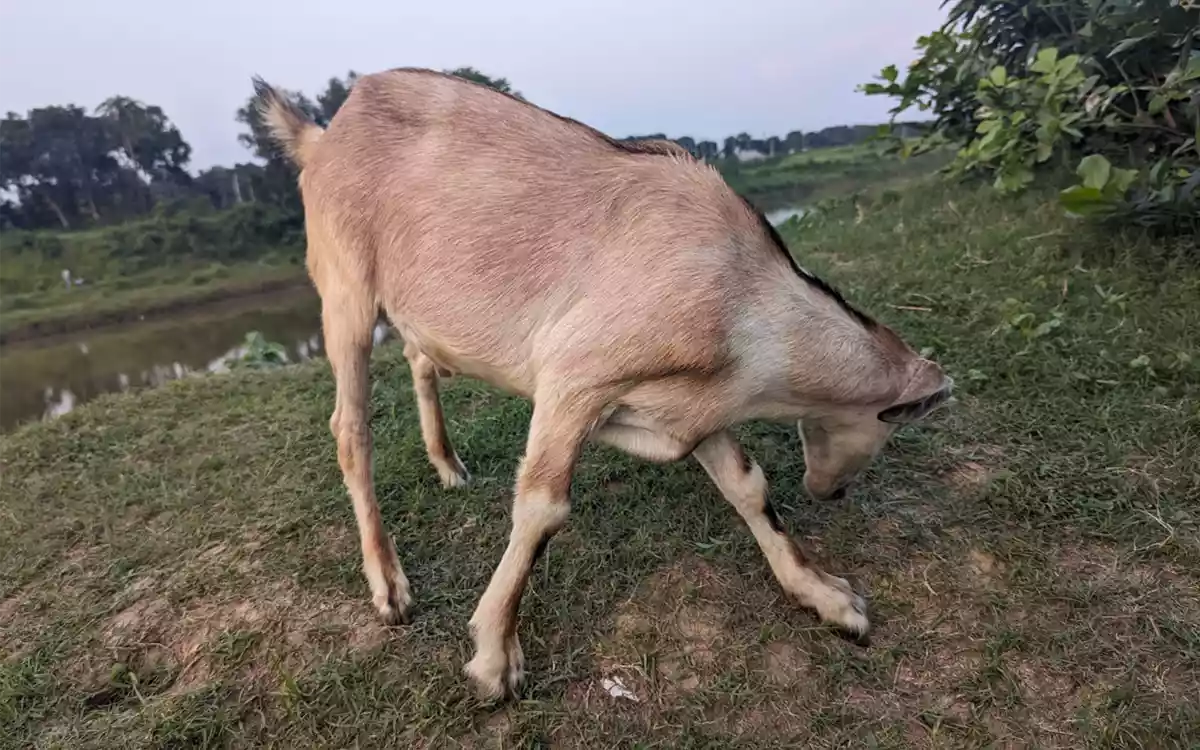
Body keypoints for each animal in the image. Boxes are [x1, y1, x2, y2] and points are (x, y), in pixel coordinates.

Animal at [254, 68, 952, 701]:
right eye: (889, 426)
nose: (833, 491)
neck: (747, 304)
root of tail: (323, 135)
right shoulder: (576, 375)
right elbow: (543, 508)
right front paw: (494, 657)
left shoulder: (690, 406)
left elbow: (747, 487)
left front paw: (828, 598)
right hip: (344, 289)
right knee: (351, 428)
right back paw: (389, 585)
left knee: (420, 359)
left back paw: (448, 465)